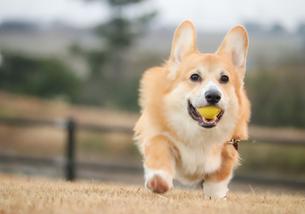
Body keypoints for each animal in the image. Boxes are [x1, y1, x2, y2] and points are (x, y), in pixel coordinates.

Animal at [134, 20, 249, 199]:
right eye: (194, 77)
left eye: (225, 78)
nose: (213, 96)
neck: (199, 133)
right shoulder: (157, 134)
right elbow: (160, 147)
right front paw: (158, 181)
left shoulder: (229, 146)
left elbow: (218, 178)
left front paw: (215, 196)